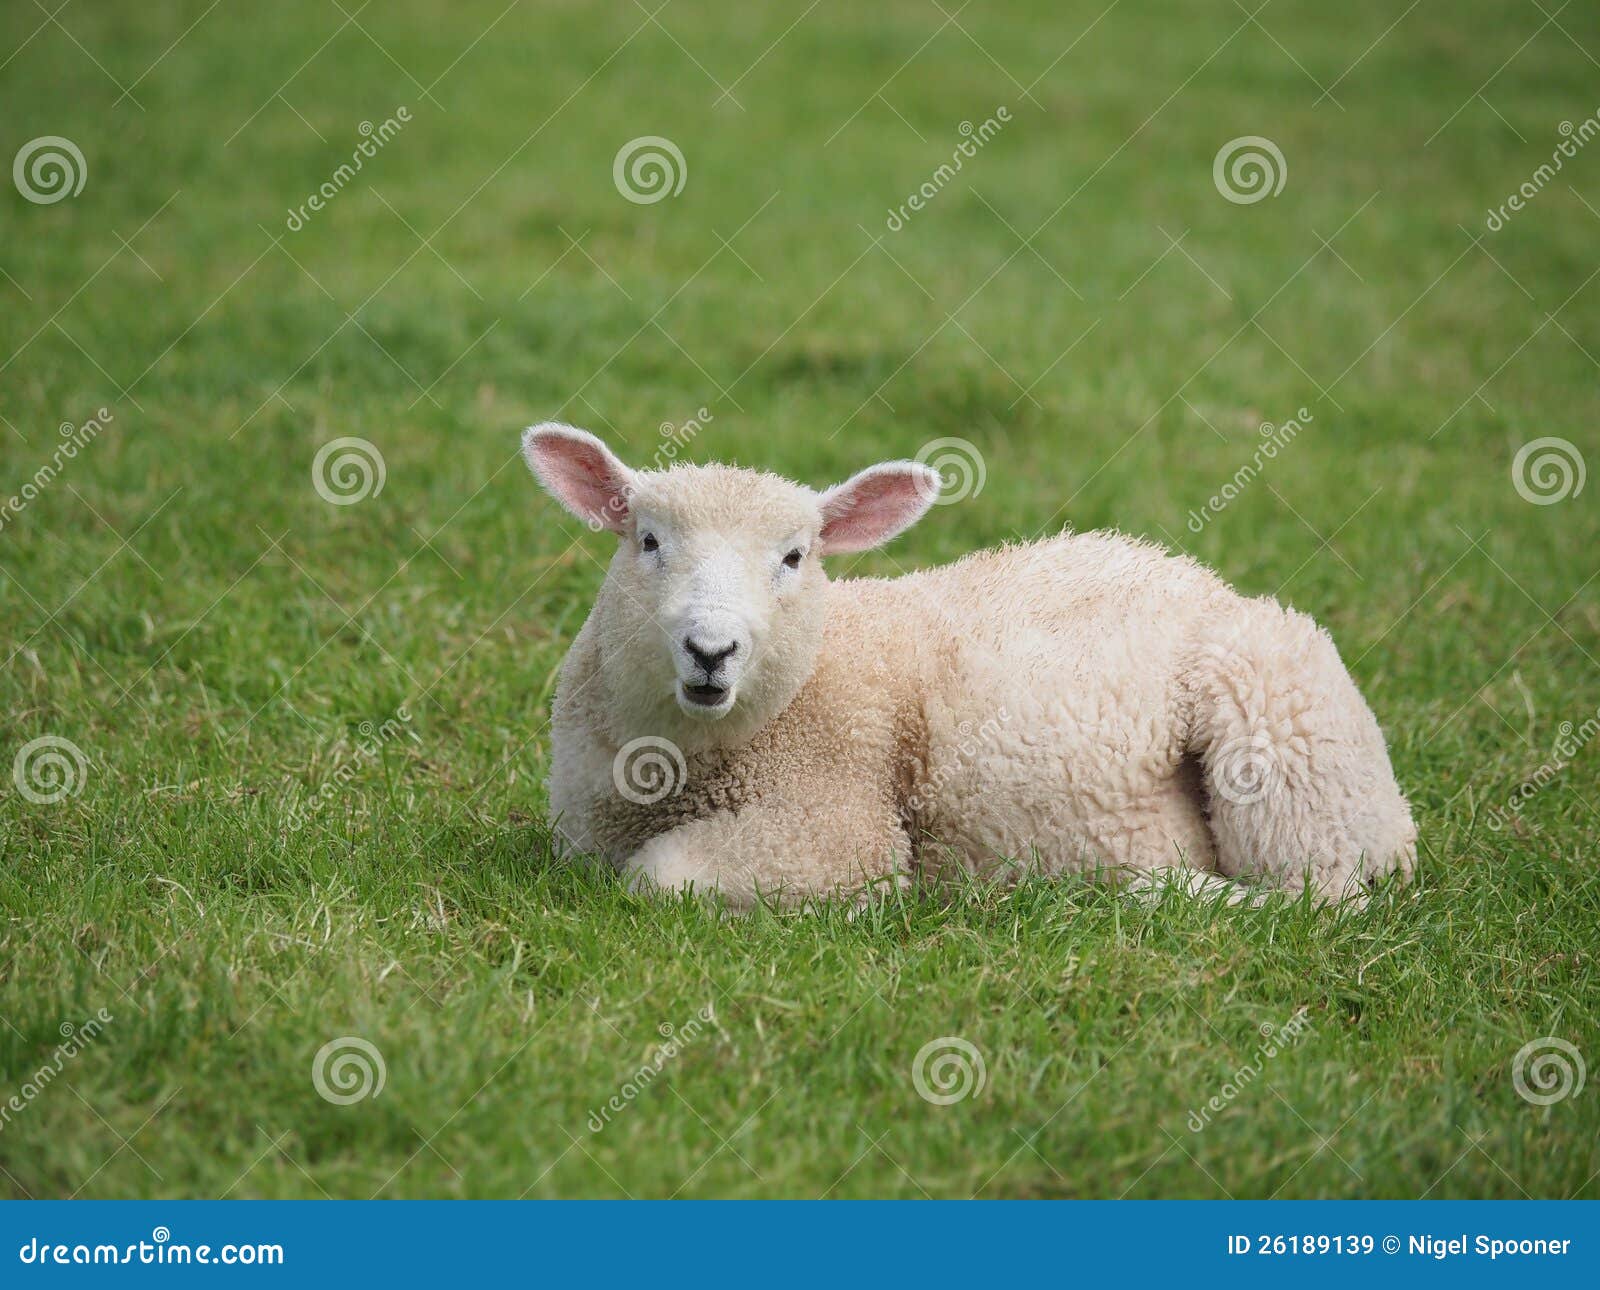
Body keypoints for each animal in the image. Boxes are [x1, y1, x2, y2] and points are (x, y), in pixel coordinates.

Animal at [521, 422, 1417, 911]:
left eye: (795, 557)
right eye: (647, 541)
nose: (711, 650)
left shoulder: (834, 818)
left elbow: (662, 874)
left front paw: (870, 902)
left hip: (1282, 726)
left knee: (1321, 896)